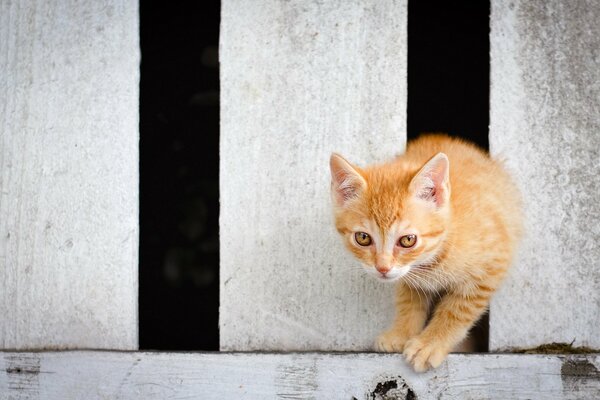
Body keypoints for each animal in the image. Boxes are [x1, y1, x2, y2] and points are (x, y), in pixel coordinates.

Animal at [330, 134, 524, 372]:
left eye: (407, 240)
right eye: (363, 238)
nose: (382, 268)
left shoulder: (492, 263)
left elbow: (457, 310)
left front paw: (431, 343)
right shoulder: (407, 275)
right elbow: (408, 302)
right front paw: (401, 333)